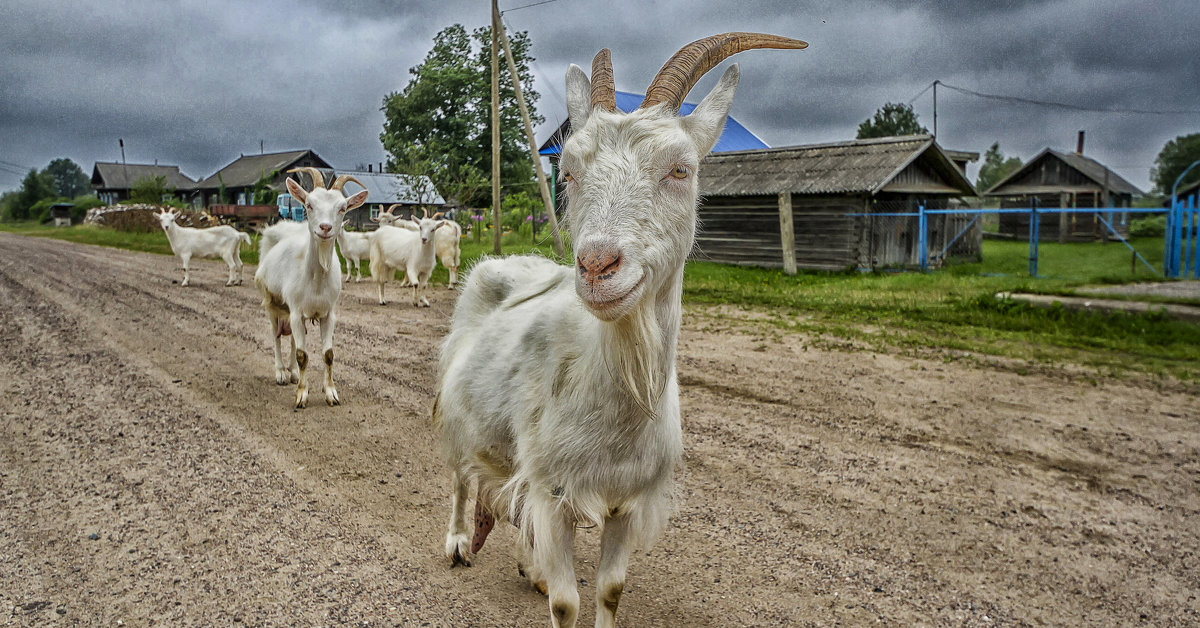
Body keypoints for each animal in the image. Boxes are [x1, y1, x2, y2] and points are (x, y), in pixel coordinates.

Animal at [252, 166, 364, 410]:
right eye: (309, 204)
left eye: (342, 208)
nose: (325, 227)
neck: (316, 280)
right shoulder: (295, 312)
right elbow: (303, 355)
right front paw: (301, 396)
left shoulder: (328, 314)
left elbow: (328, 354)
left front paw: (331, 393)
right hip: (273, 305)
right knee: (275, 336)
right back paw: (281, 373)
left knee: (295, 338)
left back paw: (293, 373)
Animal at [432, 35, 806, 628]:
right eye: (567, 172)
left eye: (681, 169)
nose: (596, 265)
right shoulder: (555, 491)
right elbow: (567, 601)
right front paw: (546, 584)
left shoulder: (626, 502)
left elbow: (609, 590)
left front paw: (554, 576)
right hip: (456, 409)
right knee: (460, 477)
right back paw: (457, 543)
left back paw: (530, 567)